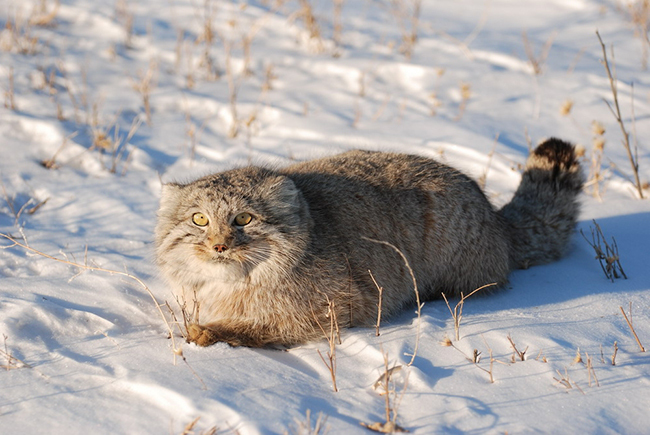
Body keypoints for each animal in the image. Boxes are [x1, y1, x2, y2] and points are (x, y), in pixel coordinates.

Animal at [156, 138, 584, 350]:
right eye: (199, 219)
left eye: (243, 219)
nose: (219, 246)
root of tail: (497, 218)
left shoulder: (342, 304)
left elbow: (269, 326)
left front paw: (211, 332)